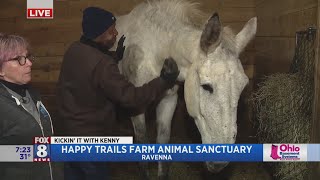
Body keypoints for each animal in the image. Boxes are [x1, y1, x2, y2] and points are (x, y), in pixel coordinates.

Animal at [112, 0, 255, 178]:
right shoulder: (136, 107)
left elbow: (163, 143)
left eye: (242, 87)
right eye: (206, 86)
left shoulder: (168, 100)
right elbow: (142, 141)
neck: (156, 49)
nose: (220, 163)